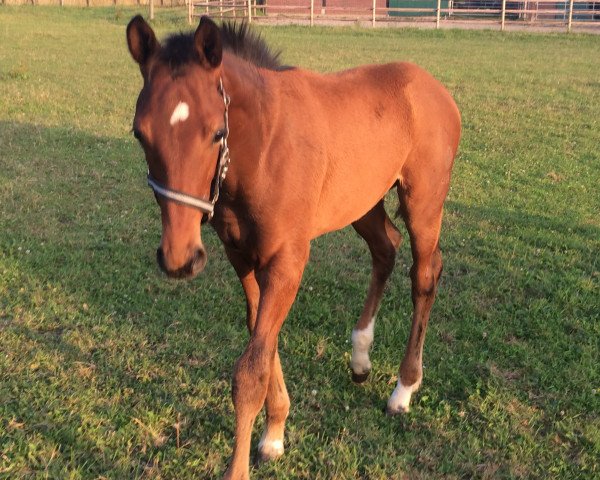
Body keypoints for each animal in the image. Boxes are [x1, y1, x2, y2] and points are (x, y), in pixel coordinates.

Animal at [125, 15, 460, 480]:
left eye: (216, 133)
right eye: (140, 133)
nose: (179, 259)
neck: (263, 149)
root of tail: (433, 86)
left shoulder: (288, 261)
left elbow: (251, 372)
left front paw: (245, 463)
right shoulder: (243, 259)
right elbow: (262, 344)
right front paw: (274, 435)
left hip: (423, 202)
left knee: (424, 274)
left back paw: (403, 389)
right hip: (362, 200)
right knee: (386, 249)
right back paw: (360, 357)